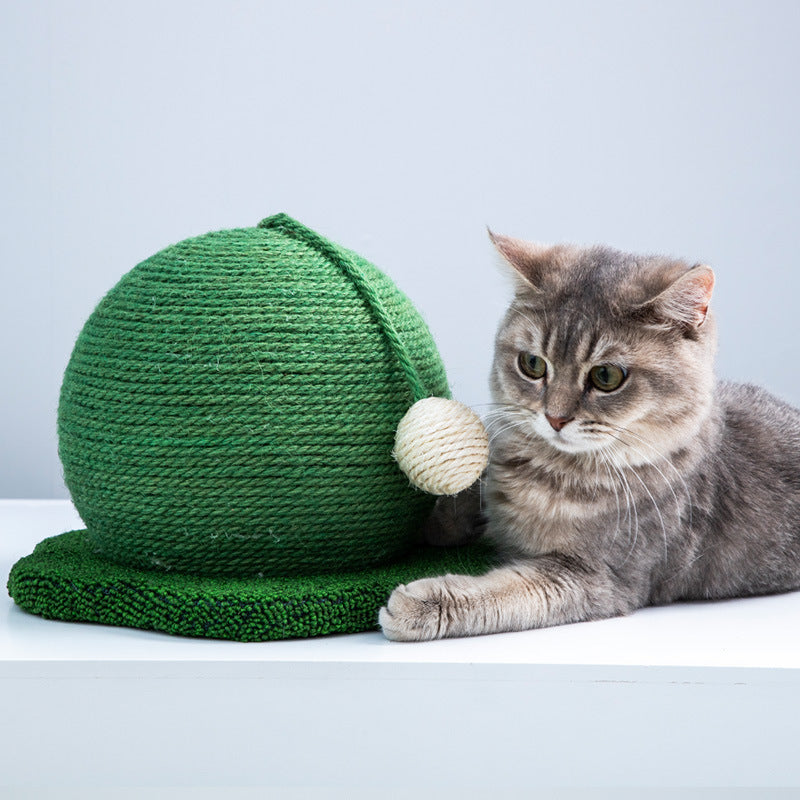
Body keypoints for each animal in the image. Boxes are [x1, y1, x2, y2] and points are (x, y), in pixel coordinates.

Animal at [378, 233, 800, 644]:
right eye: (533, 364)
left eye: (607, 376)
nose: (555, 417)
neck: (551, 470)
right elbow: (466, 496)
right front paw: (429, 523)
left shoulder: (597, 577)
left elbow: (507, 593)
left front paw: (422, 603)